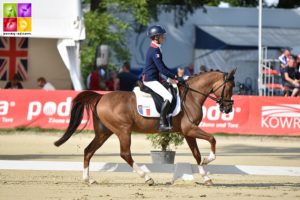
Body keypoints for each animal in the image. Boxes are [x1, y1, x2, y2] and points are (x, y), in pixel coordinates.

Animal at [55, 69, 236, 185]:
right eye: (230, 87)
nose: (228, 109)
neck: (192, 96)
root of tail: (100, 97)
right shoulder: (190, 129)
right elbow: (212, 139)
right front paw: (209, 159)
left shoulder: (188, 132)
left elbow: (197, 154)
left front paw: (206, 178)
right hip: (123, 131)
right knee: (125, 154)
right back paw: (147, 178)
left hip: (103, 133)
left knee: (88, 151)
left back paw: (88, 179)